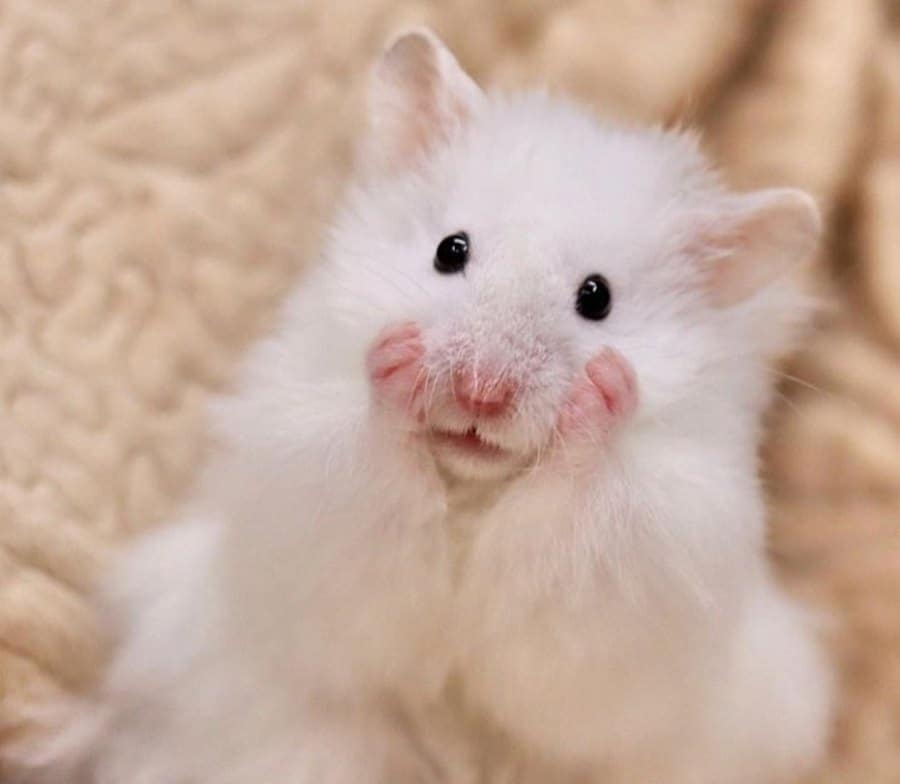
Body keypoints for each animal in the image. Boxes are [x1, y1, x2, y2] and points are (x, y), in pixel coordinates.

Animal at [13, 28, 833, 784]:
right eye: (451, 250)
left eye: (596, 298)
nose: (481, 392)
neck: (471, 485)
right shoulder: (308, 483)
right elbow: (372, 494)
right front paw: (398, 365)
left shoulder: (645, 557)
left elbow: (570, 539)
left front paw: (601, 400)